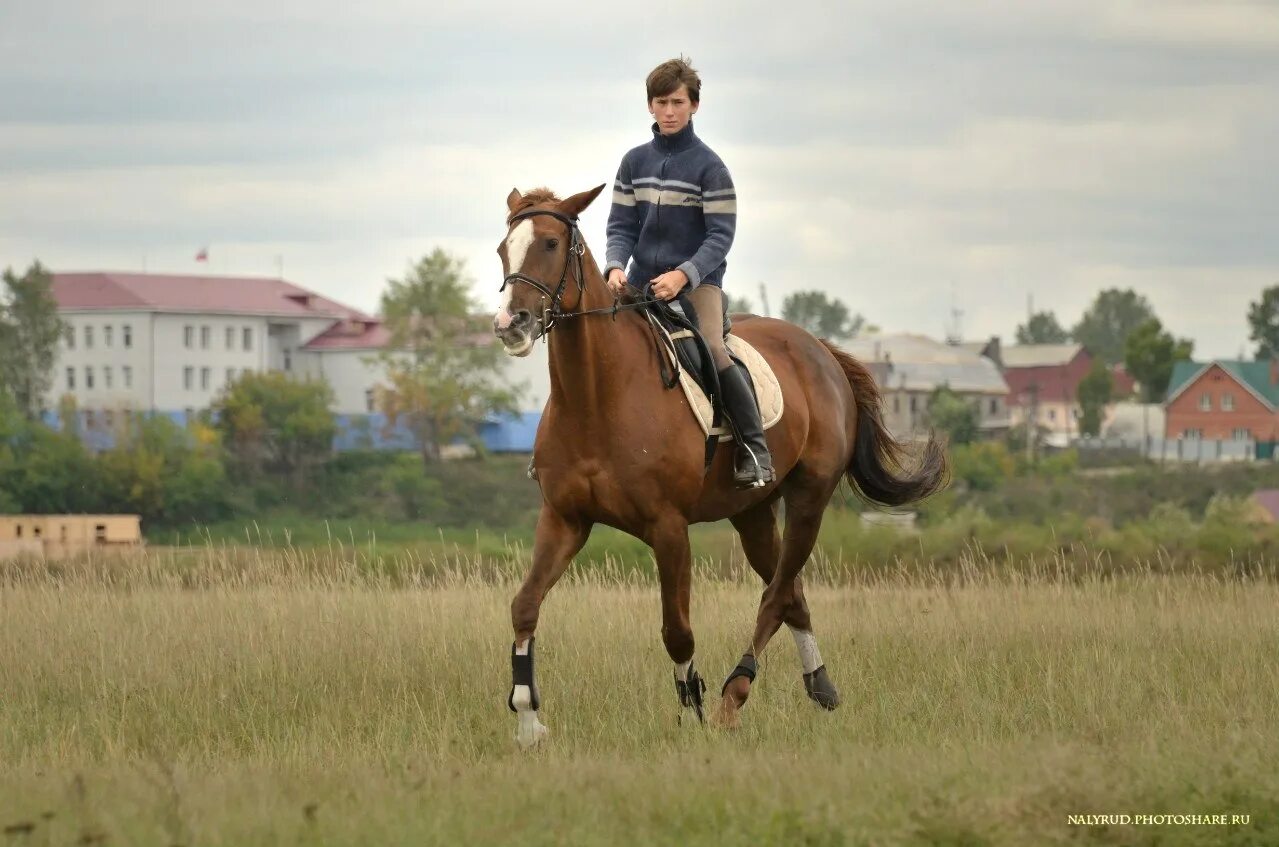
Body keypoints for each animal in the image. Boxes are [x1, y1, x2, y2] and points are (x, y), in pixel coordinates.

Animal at [493, 182, 946, 747]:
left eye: (551, 244)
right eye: (503, 249)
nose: (510, 325)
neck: (597, 395)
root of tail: (819, 348)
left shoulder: (668, 529)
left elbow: (677, 630)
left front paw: (693, 711)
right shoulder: (565, 520)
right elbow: (525, 605)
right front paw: (528, 720)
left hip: (809, 500)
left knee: (776, 595)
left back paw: (735, 695)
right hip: (751, 512)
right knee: (791, 592)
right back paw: (820, 686)